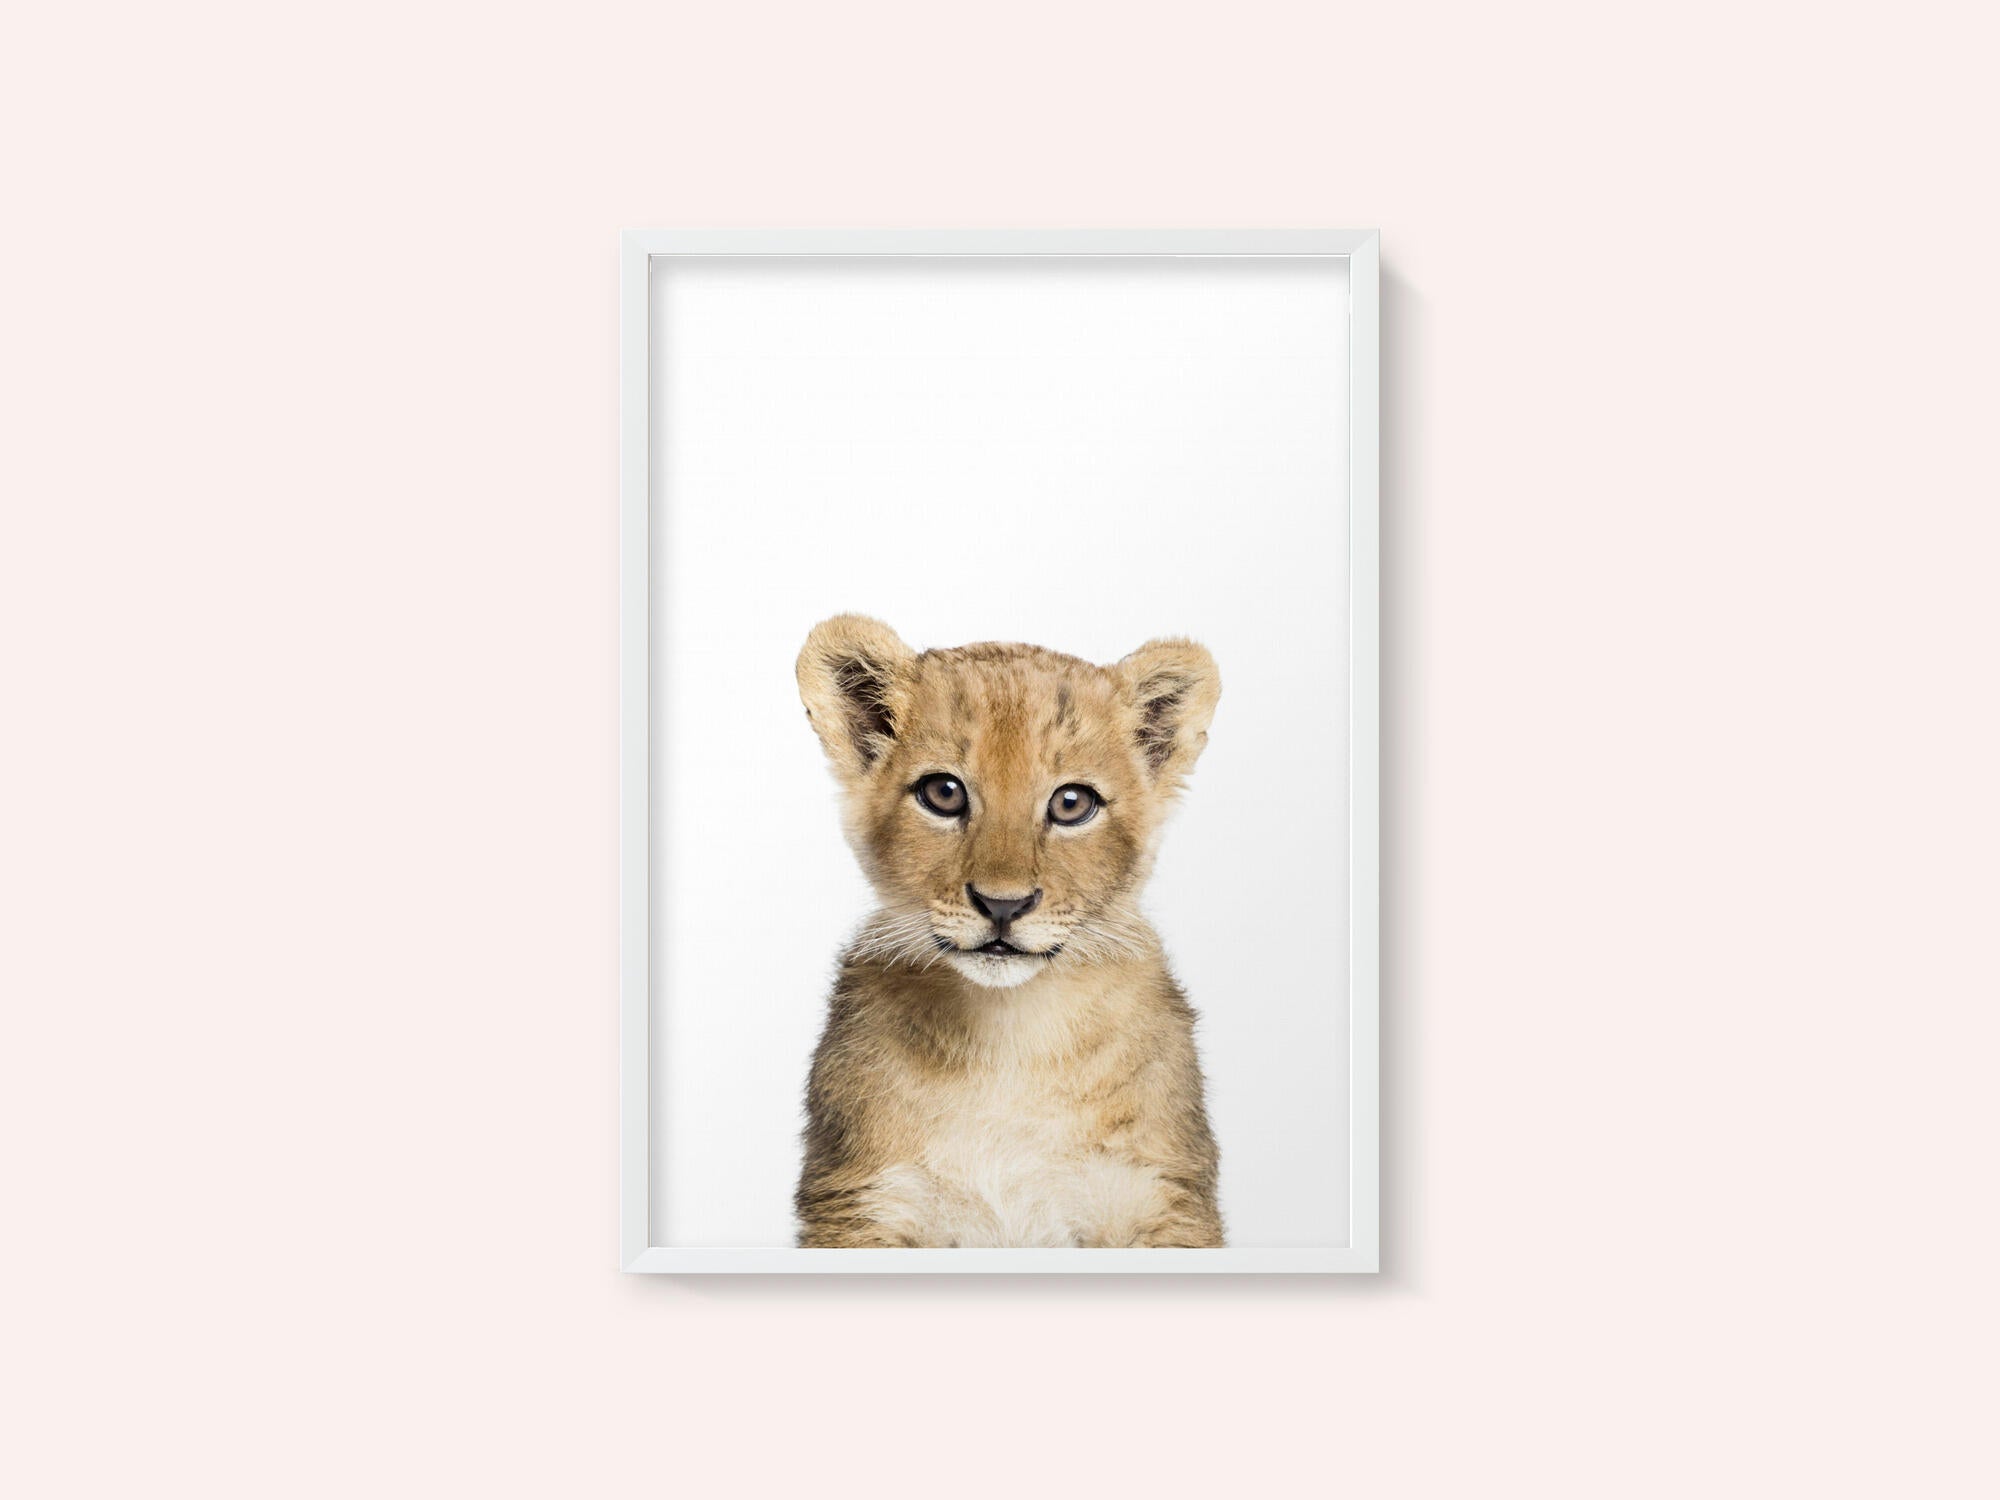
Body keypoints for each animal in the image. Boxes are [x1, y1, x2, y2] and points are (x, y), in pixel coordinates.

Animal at [793, 614, 1225, 1248]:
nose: (1003, 905)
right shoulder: (862, 1202)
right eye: (943, 793)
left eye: (1072, 803)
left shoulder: (1161, 1197)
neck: (1010, 1038)